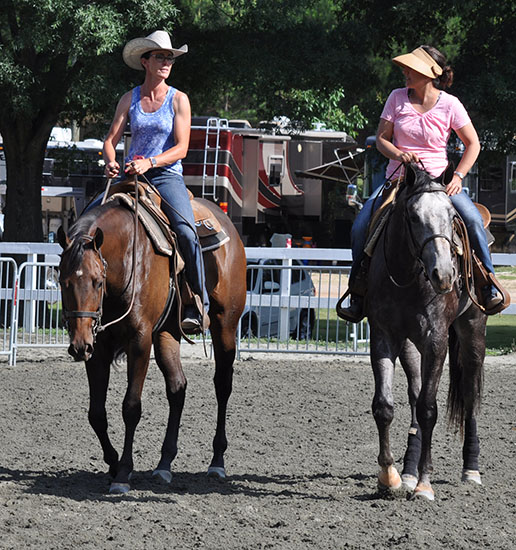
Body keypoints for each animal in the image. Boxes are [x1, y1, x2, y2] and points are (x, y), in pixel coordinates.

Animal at [57, 191, 247, 496]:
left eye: (97, 282)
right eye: (62, 281)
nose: (78, 346)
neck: (127, 258)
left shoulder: (140, 340)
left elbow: (131, 406)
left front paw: (123, 473)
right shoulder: (98, 347)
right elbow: (96, 413)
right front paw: (113, 465)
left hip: (225, 325)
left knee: (222, 385)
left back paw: (217, 462)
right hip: (167, 334)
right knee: (177, 387)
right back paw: (164, 465)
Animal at [364, 163, 486, 500]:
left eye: (451, 214)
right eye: (414, 216)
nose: (444, 274)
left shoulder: (436, 341)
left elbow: (429, 409)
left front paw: (424, 484)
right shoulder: (383, 337)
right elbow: (385, 406)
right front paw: (389, 476)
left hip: (473, 331)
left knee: (469, 393)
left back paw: (471, 469)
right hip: (410, 346)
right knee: (415, 394)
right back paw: (407, 471)